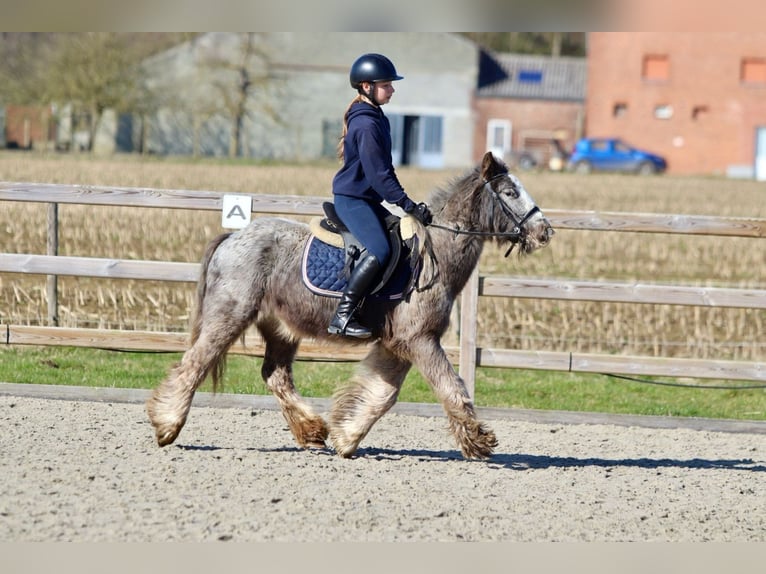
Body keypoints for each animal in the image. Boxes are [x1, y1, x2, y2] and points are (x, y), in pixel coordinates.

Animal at [148, 151, 560, 462]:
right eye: (509, 191)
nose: (545, 232)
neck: (435, 254)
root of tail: (232, 237)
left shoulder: (399, 345)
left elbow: (381, 395)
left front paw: (346, 437)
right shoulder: (421, 341)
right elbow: (450, 386)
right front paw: (478, 439)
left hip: (280, 328)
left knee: (275, 375)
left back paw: (312, 431)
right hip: (229, 316)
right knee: (194, 364)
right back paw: (167, 425)